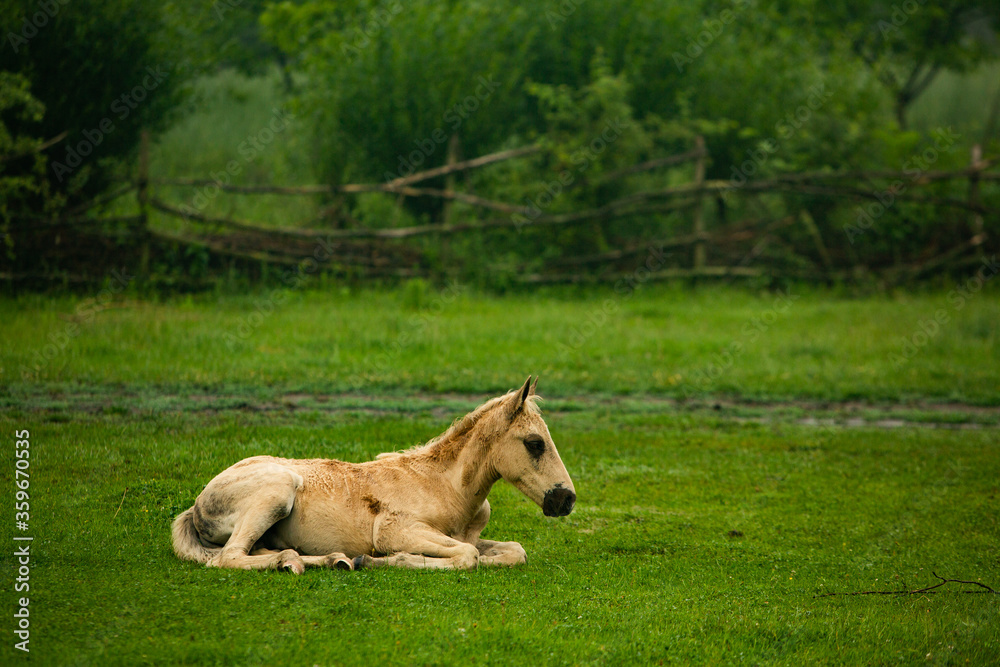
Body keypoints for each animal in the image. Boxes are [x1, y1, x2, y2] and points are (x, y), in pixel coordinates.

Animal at [171, 377, 576, 572]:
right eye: (535, 443)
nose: (566, 499)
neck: (445, 487)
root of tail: (196, 506)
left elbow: (513, 551)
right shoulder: (397, 530)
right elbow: (466, 556)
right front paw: (389, 561)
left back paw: (328, 560)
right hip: (277, 490)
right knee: (230, 557)